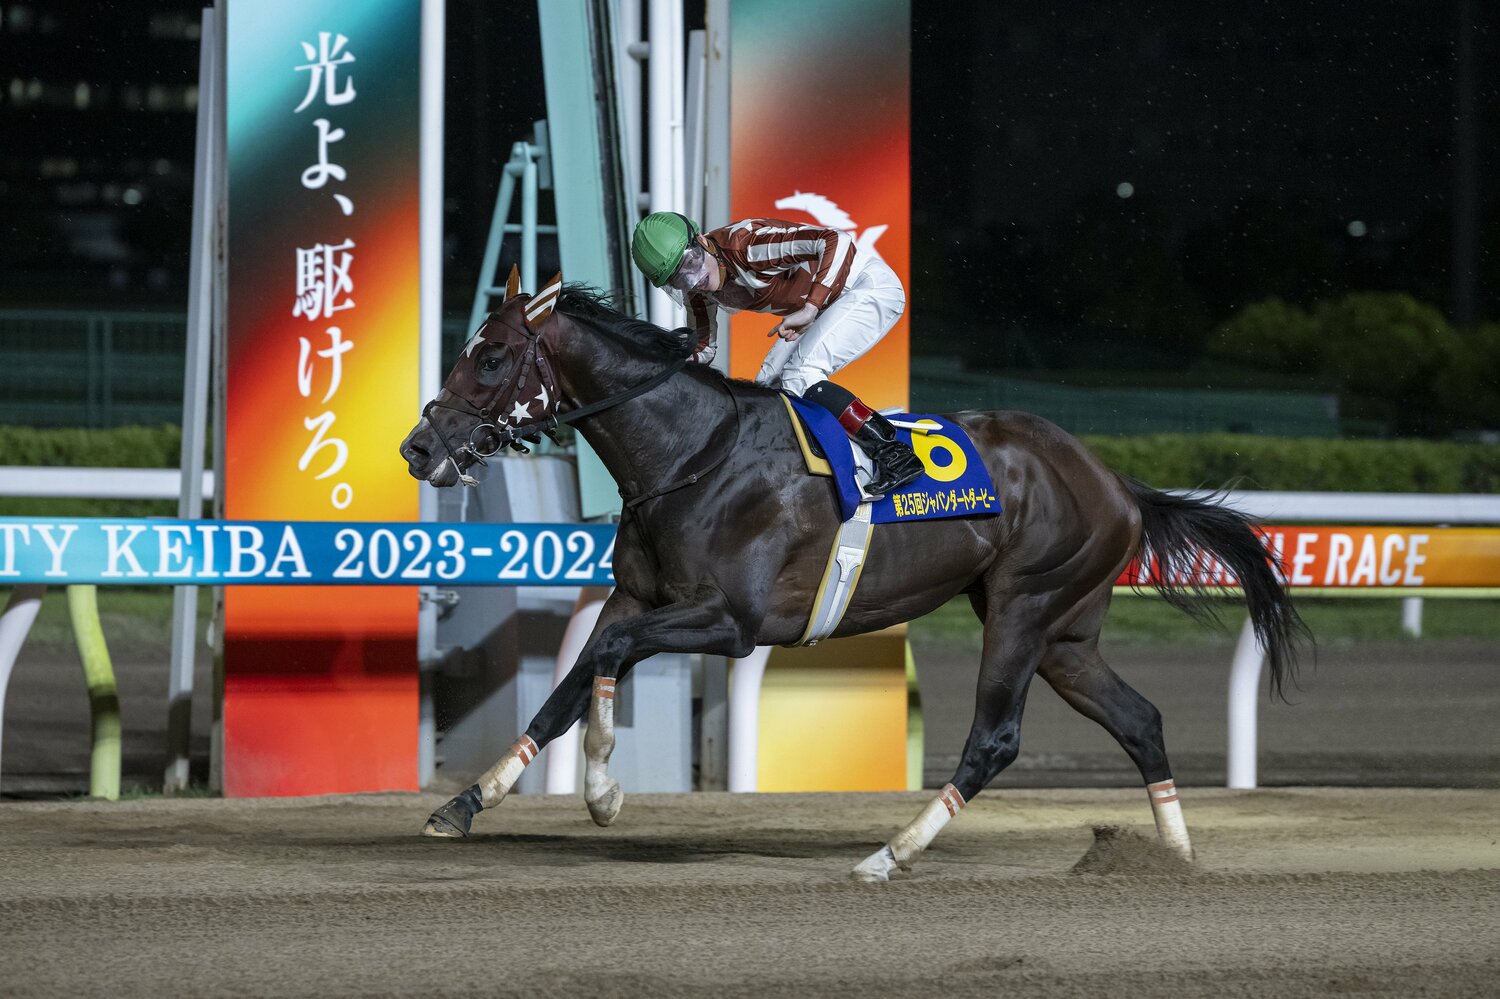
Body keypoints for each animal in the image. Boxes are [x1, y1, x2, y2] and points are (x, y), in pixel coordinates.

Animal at [399, 273, 1306, 881]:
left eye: (491, 357)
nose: (418, 447)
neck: (691, 454)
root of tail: (1116, 481)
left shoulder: (731, 620)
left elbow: (610, 661)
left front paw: (601, 792)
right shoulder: (636, 594)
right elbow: (569, 683)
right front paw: (465, 801)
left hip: (1026, 605)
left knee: (995, 738)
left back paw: (890, 852)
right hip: (1065, 633)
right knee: (1140, 718)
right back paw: (1178, 855)